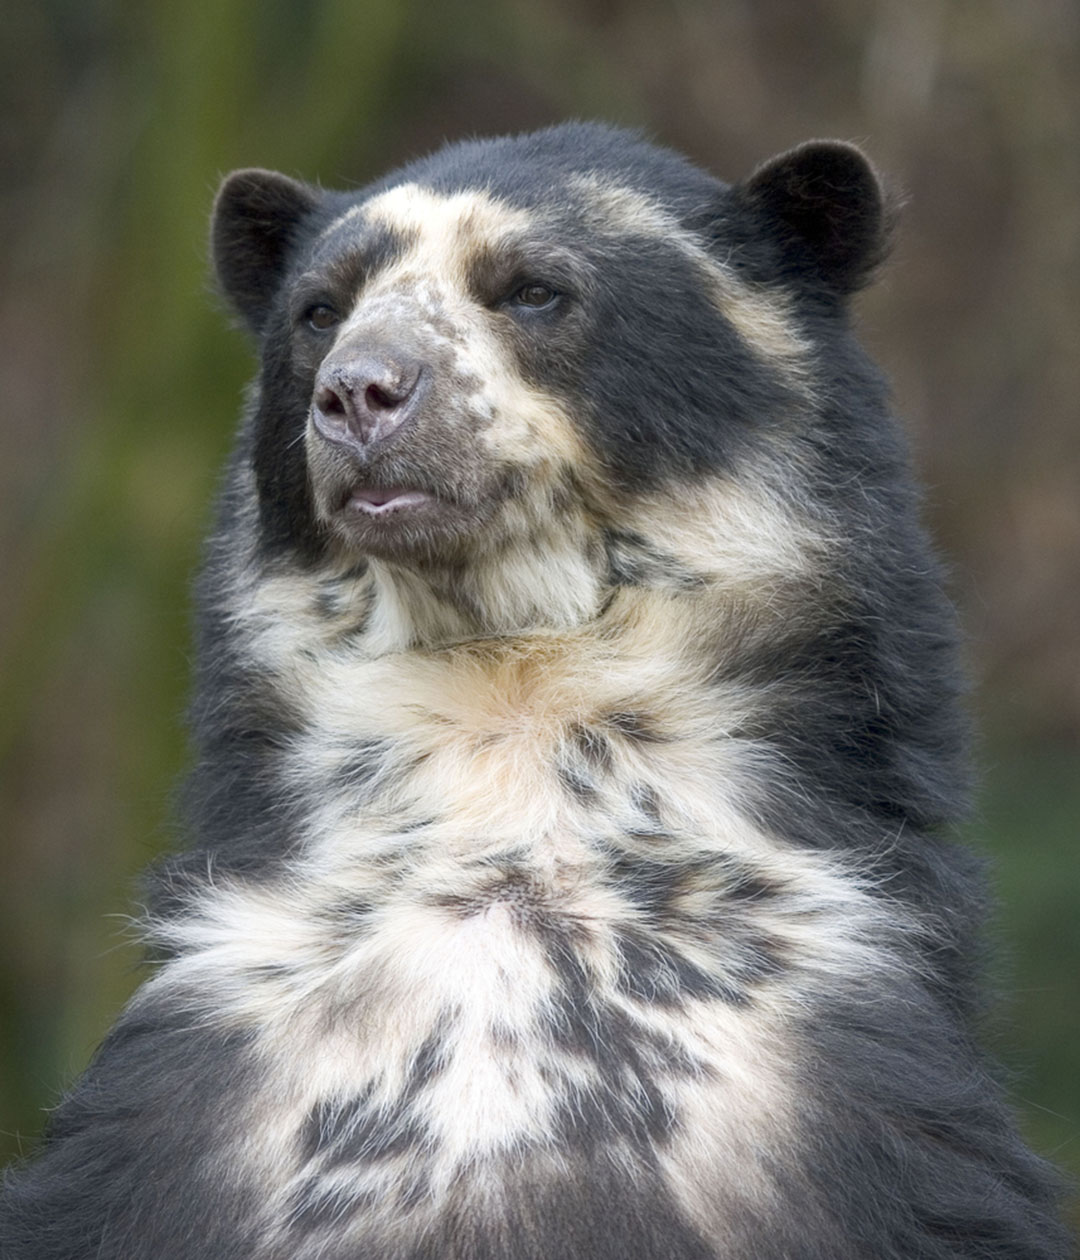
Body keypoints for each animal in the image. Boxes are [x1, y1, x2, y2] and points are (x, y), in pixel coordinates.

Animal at [0, 120, 1068, 1260]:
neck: (511, 717)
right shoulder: (185, 1096)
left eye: (532, 291)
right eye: (319, 310)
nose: (359, 392)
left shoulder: (855, 1095)